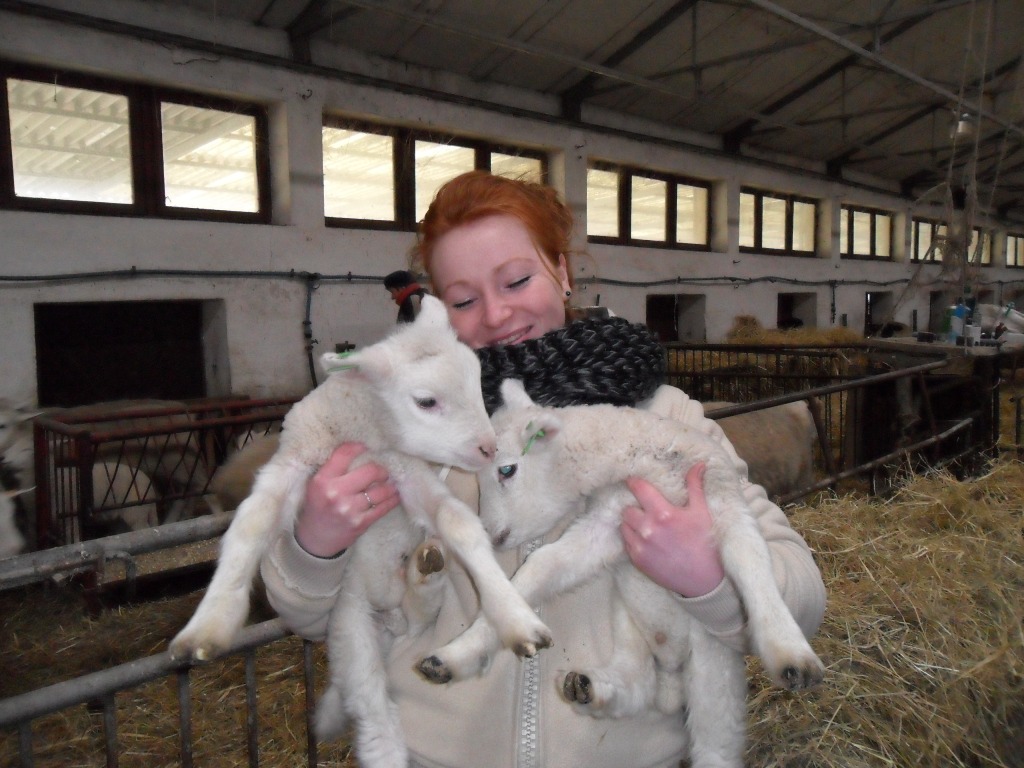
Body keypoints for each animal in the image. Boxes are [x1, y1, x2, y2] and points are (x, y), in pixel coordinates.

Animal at [169, 297, 552, 763]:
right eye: (426, 401)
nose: (489, 448)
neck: (367, 438)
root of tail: (388, 621)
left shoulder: (408, 474)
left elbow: (459, 524)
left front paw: (514, 615)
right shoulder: (294, 462)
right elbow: (251, 524)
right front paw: (208, 624)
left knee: (419, 616)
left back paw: (425, 574)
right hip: (351, 630)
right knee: (376, 721)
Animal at [416, 379, 824, 768]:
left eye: (506, 469)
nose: (489, 535)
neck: (639, 458)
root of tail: (672, 681)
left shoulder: (726, 505)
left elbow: (750, 559)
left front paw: (791, 653)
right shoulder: (607, 525)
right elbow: (541, 566)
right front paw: (465, 648)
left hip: (713, 674)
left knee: (715, 752)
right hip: (629, 624)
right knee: (636, 684)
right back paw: (590, 687)